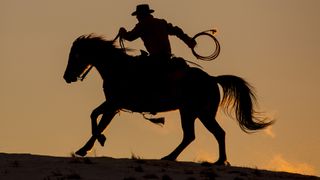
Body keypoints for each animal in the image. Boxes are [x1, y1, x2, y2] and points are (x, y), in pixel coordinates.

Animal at [63, 34, 274, 165]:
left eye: (76, 55)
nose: (67, 77)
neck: (119, 68)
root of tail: (212, 79)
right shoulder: (113, 104)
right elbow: (94, 115)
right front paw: (90, 145)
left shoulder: (114, 104)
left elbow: (99, 122)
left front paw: (92, 144)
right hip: (190, 113)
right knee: (193, 135)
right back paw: (172, 157)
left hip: (200, 113)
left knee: (215, 133)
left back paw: (217, 161)